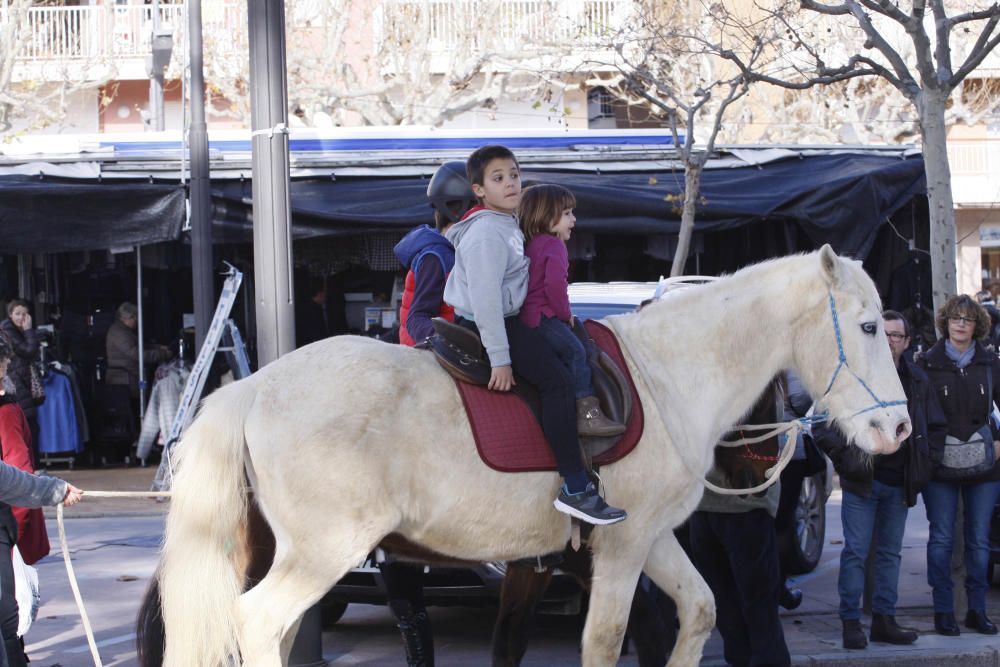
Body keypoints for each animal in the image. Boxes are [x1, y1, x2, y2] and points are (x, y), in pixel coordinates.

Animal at [152, 245, 912, 667]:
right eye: (869, 326)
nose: (899, 428)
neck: (666, 374)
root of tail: (255, 386)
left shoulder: (651, 538)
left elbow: (698, 611)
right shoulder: (620, 549)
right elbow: (604, 640)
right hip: (321, 552)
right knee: (258, 623)